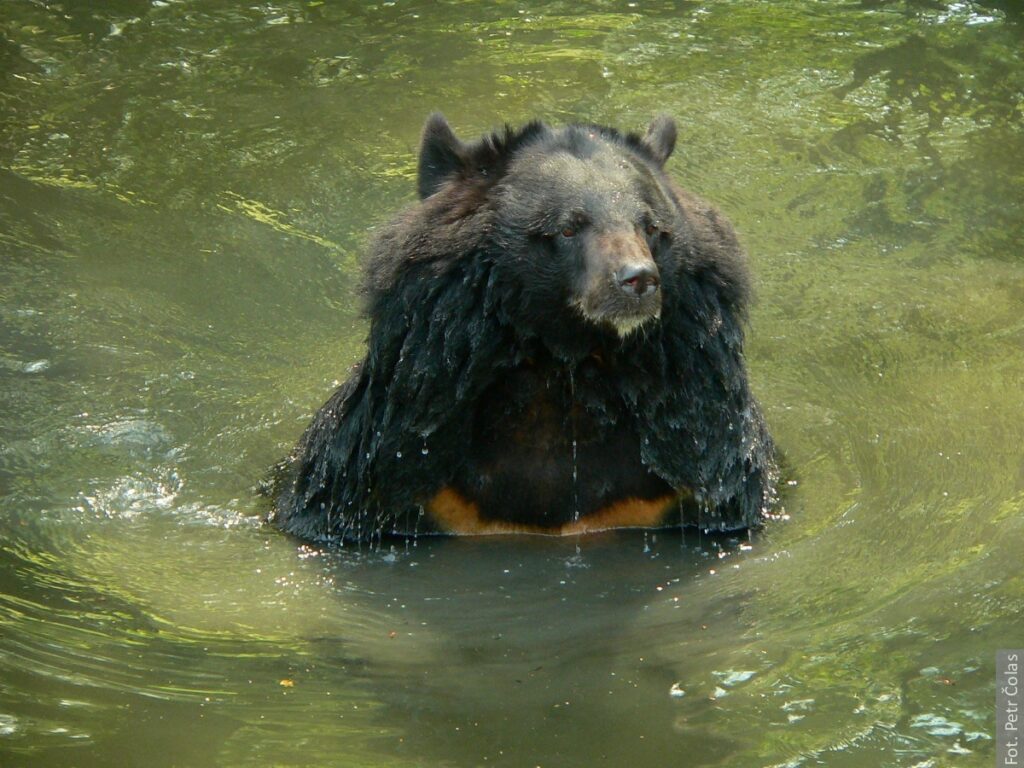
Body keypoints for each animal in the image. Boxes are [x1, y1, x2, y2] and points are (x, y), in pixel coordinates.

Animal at [268, 114, 778, 548]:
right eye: (569, 227)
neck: (562, 367)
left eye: (651, 227)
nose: (638, 280)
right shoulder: (389, 467)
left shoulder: (689, 465)